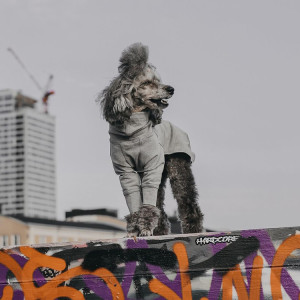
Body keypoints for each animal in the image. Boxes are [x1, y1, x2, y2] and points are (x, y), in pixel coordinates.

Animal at [98, 42, 204, 236]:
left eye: (158, 80)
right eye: (147, 83)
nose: (171, 89)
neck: (132, 131)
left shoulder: (152, 165)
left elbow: (148, 206)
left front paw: (145, 229)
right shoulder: (126, 172)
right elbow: (136, 202)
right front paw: (134, 230)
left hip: (178, 167)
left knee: (188, 205)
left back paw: (193, 231)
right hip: (160, 174)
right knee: (159, 206)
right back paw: (160, 232)